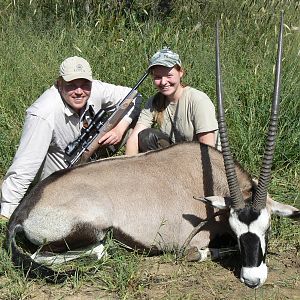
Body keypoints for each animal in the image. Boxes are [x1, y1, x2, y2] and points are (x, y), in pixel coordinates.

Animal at [5, 14, 300, 288]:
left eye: (267, 228)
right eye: (236, 230)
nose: (252, 279)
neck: (208, 177)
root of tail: (22, 212)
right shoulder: (187, 243)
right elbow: (199, 252)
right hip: (88, 231)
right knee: (83, 251)